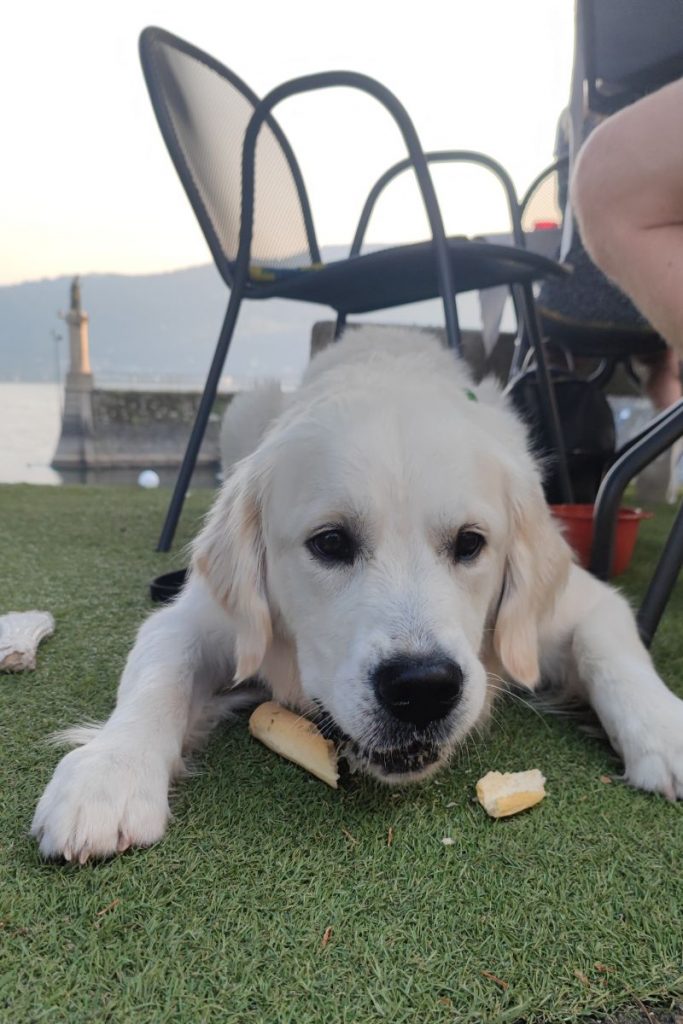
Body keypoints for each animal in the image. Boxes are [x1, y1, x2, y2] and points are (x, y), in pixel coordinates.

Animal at [33, 331, 683, 860]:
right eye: (330, 542)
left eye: (471, 543)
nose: (423, 688)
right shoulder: (195, 618)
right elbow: (158, 675)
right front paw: (109, 773)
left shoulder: (582, 602)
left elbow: (613, 652)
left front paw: (666, 731)